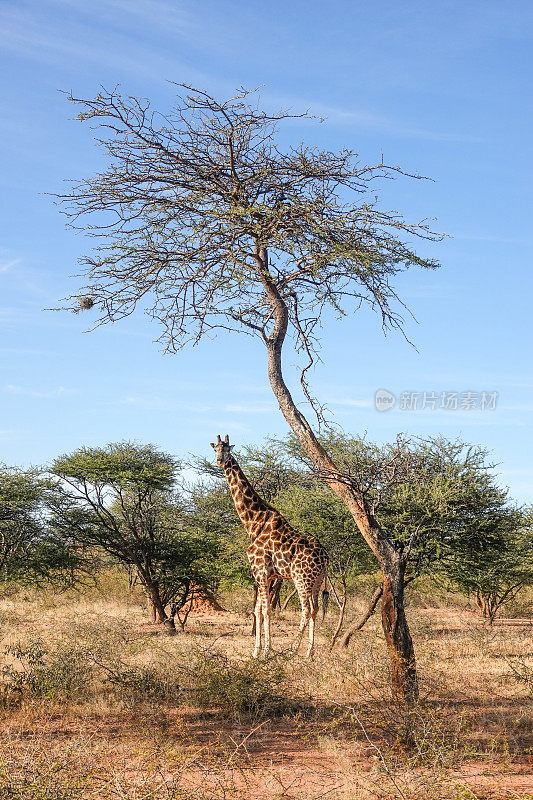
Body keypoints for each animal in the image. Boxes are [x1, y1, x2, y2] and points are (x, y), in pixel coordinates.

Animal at [211, 434, 328, 660]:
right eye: (215, 449)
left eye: (228, 449)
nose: (220, 461)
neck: (253, 523)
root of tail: (325, 557)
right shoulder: (267, 575)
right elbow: (257, 610)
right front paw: (255, 651)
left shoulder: (260, 570)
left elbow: (266, 610)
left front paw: (266, 650)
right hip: (317, 580)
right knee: (316, 609)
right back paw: (309, 653)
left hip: (301, 579)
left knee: (306, 610)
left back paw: (293, 650)